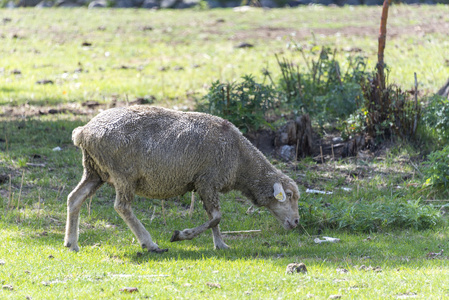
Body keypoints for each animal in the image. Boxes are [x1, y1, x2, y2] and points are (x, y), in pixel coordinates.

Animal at [63, 106, 300, 252]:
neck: (241, 160)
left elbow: (213, 217)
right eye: (288, 195)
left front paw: (221, 245)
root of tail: (83, 131)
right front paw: (181, 235)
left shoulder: (205, 184)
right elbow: (216, 217)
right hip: (123, 174)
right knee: (122, 207)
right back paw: (150, 244)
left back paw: (71, 243)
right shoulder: (207, 180)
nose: (297, 222)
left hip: (94, 171)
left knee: (75, 198)